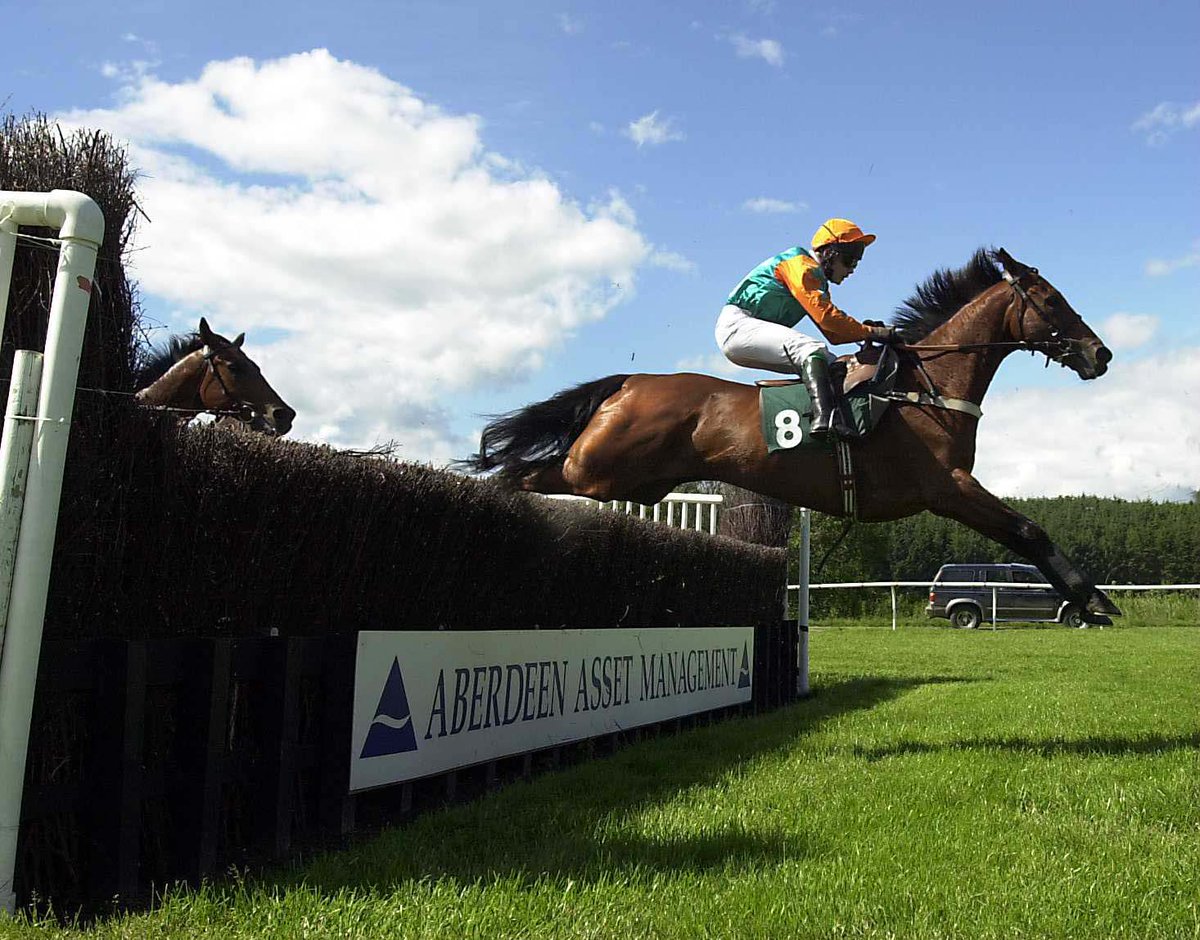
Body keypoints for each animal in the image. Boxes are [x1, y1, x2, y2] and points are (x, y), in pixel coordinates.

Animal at [468, 248, 1123, 624]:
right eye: (1051, 300)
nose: (1101, 354)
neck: (925, 387)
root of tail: (630, 381)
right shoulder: (947, 488)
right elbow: (1028, 530)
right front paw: (1092, 600)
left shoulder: (949, 491)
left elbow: (1025, 531)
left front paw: (1089, 599)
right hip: (600, 470)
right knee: (520, 475)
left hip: (636, 482)